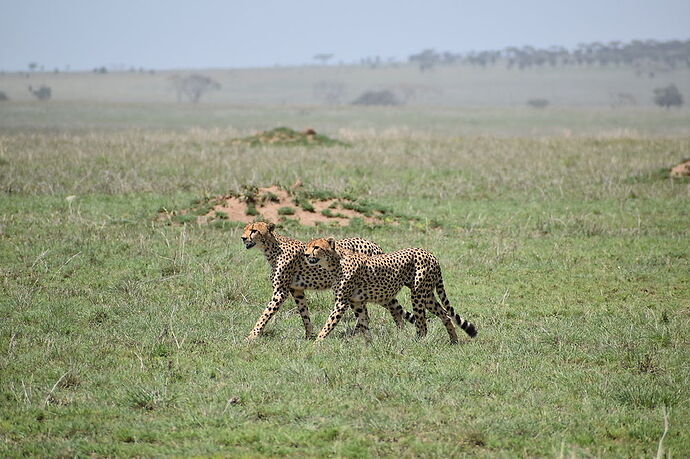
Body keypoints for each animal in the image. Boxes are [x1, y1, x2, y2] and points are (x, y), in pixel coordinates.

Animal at [242, 223, 412, 342]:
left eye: (254, 230)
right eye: (245, 229)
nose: (243, 238)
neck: (272, 248)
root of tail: (372, 243)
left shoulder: (280, 291)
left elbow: (265, 315)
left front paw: (251, 336)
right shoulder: (297, 290)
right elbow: (304, 314)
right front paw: (309, 335)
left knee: (391, 308)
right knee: (383, 311)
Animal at [304, 239, 476, 344]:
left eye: (316, 247)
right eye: (307, 246)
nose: (305, 254)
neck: (335, 262)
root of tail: (429, 253)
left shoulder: (341, 302)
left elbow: (329, 324)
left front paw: (316, 344)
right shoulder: (357, 302)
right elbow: (363, 322)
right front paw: (369, 344)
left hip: (418, 294)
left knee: (422, 323)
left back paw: (417, 342)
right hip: (427, 295)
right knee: (445, 313)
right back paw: (454, 340)